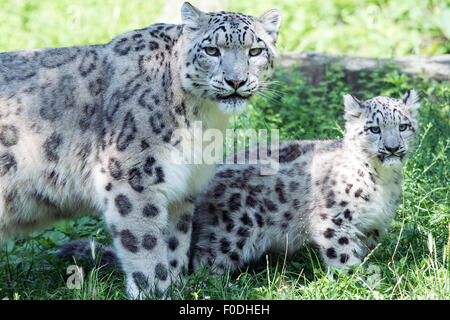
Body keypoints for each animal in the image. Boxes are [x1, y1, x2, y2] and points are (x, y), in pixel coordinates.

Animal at [0, 1, 282, 298]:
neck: (203, 119)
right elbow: (146, 244)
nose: (236, 81)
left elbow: (174, 240)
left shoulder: (182, 185)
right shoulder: (135, 177)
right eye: (211, 50)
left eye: (255, 51)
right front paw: (156, 290)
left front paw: (177, 283)